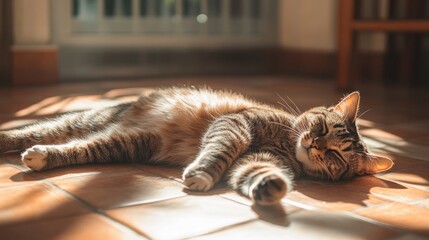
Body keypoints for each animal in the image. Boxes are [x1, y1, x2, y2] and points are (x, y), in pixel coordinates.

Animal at [0, 87, 392, 204]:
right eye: (322, 126)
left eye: (337, 155)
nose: (315, 144)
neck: (284, 141)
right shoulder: (236, 124)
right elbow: (221, 149)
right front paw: (201, 173)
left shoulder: (256, 158)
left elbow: (256, 171)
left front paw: (270, 187)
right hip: (83, 122)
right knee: (30, 131)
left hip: (124, 143)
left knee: (75, 148)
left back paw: (40, 158)